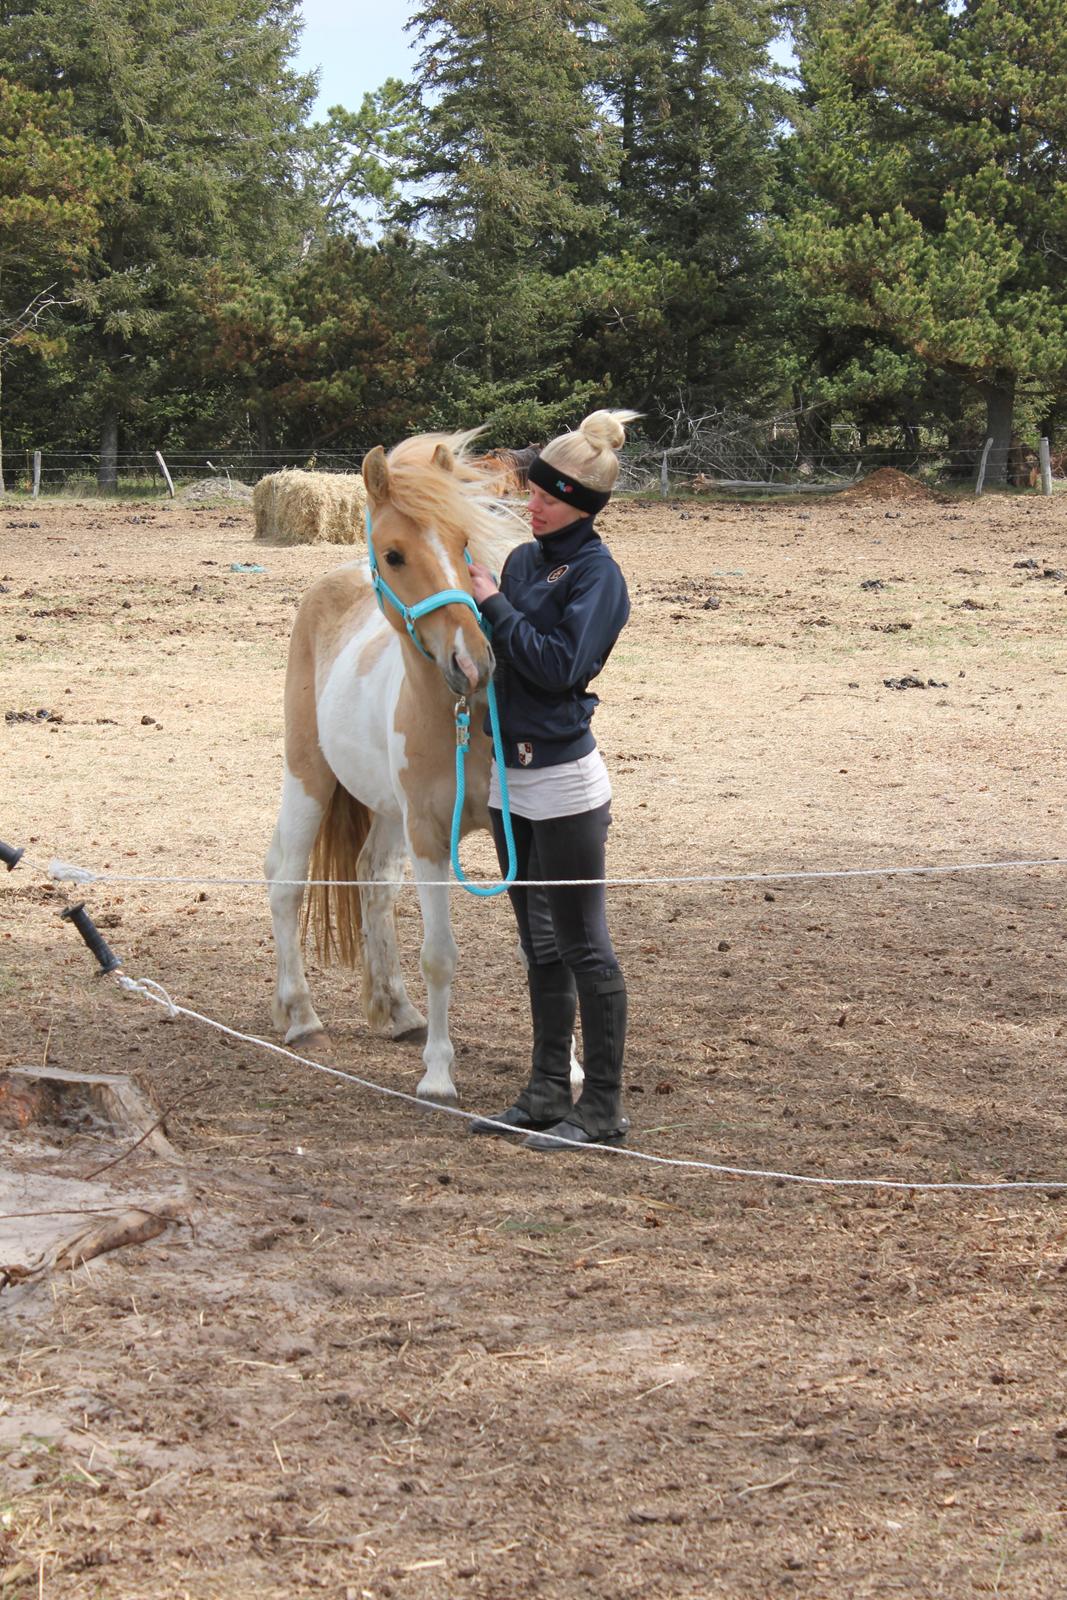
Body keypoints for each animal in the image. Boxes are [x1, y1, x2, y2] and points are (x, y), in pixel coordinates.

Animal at [265, 428, 531, 1100]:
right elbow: (439, 954)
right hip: (309, 776)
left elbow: (539, 950)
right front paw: (438, 1074)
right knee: (285, 878)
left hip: (385, 809)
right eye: (393, 555)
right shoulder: (431, 836)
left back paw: (398, 1011)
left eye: (463, 543)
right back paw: (301, 1017)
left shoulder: (513, 835)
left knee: (372, 879)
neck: (457, 719)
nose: (473, 662)